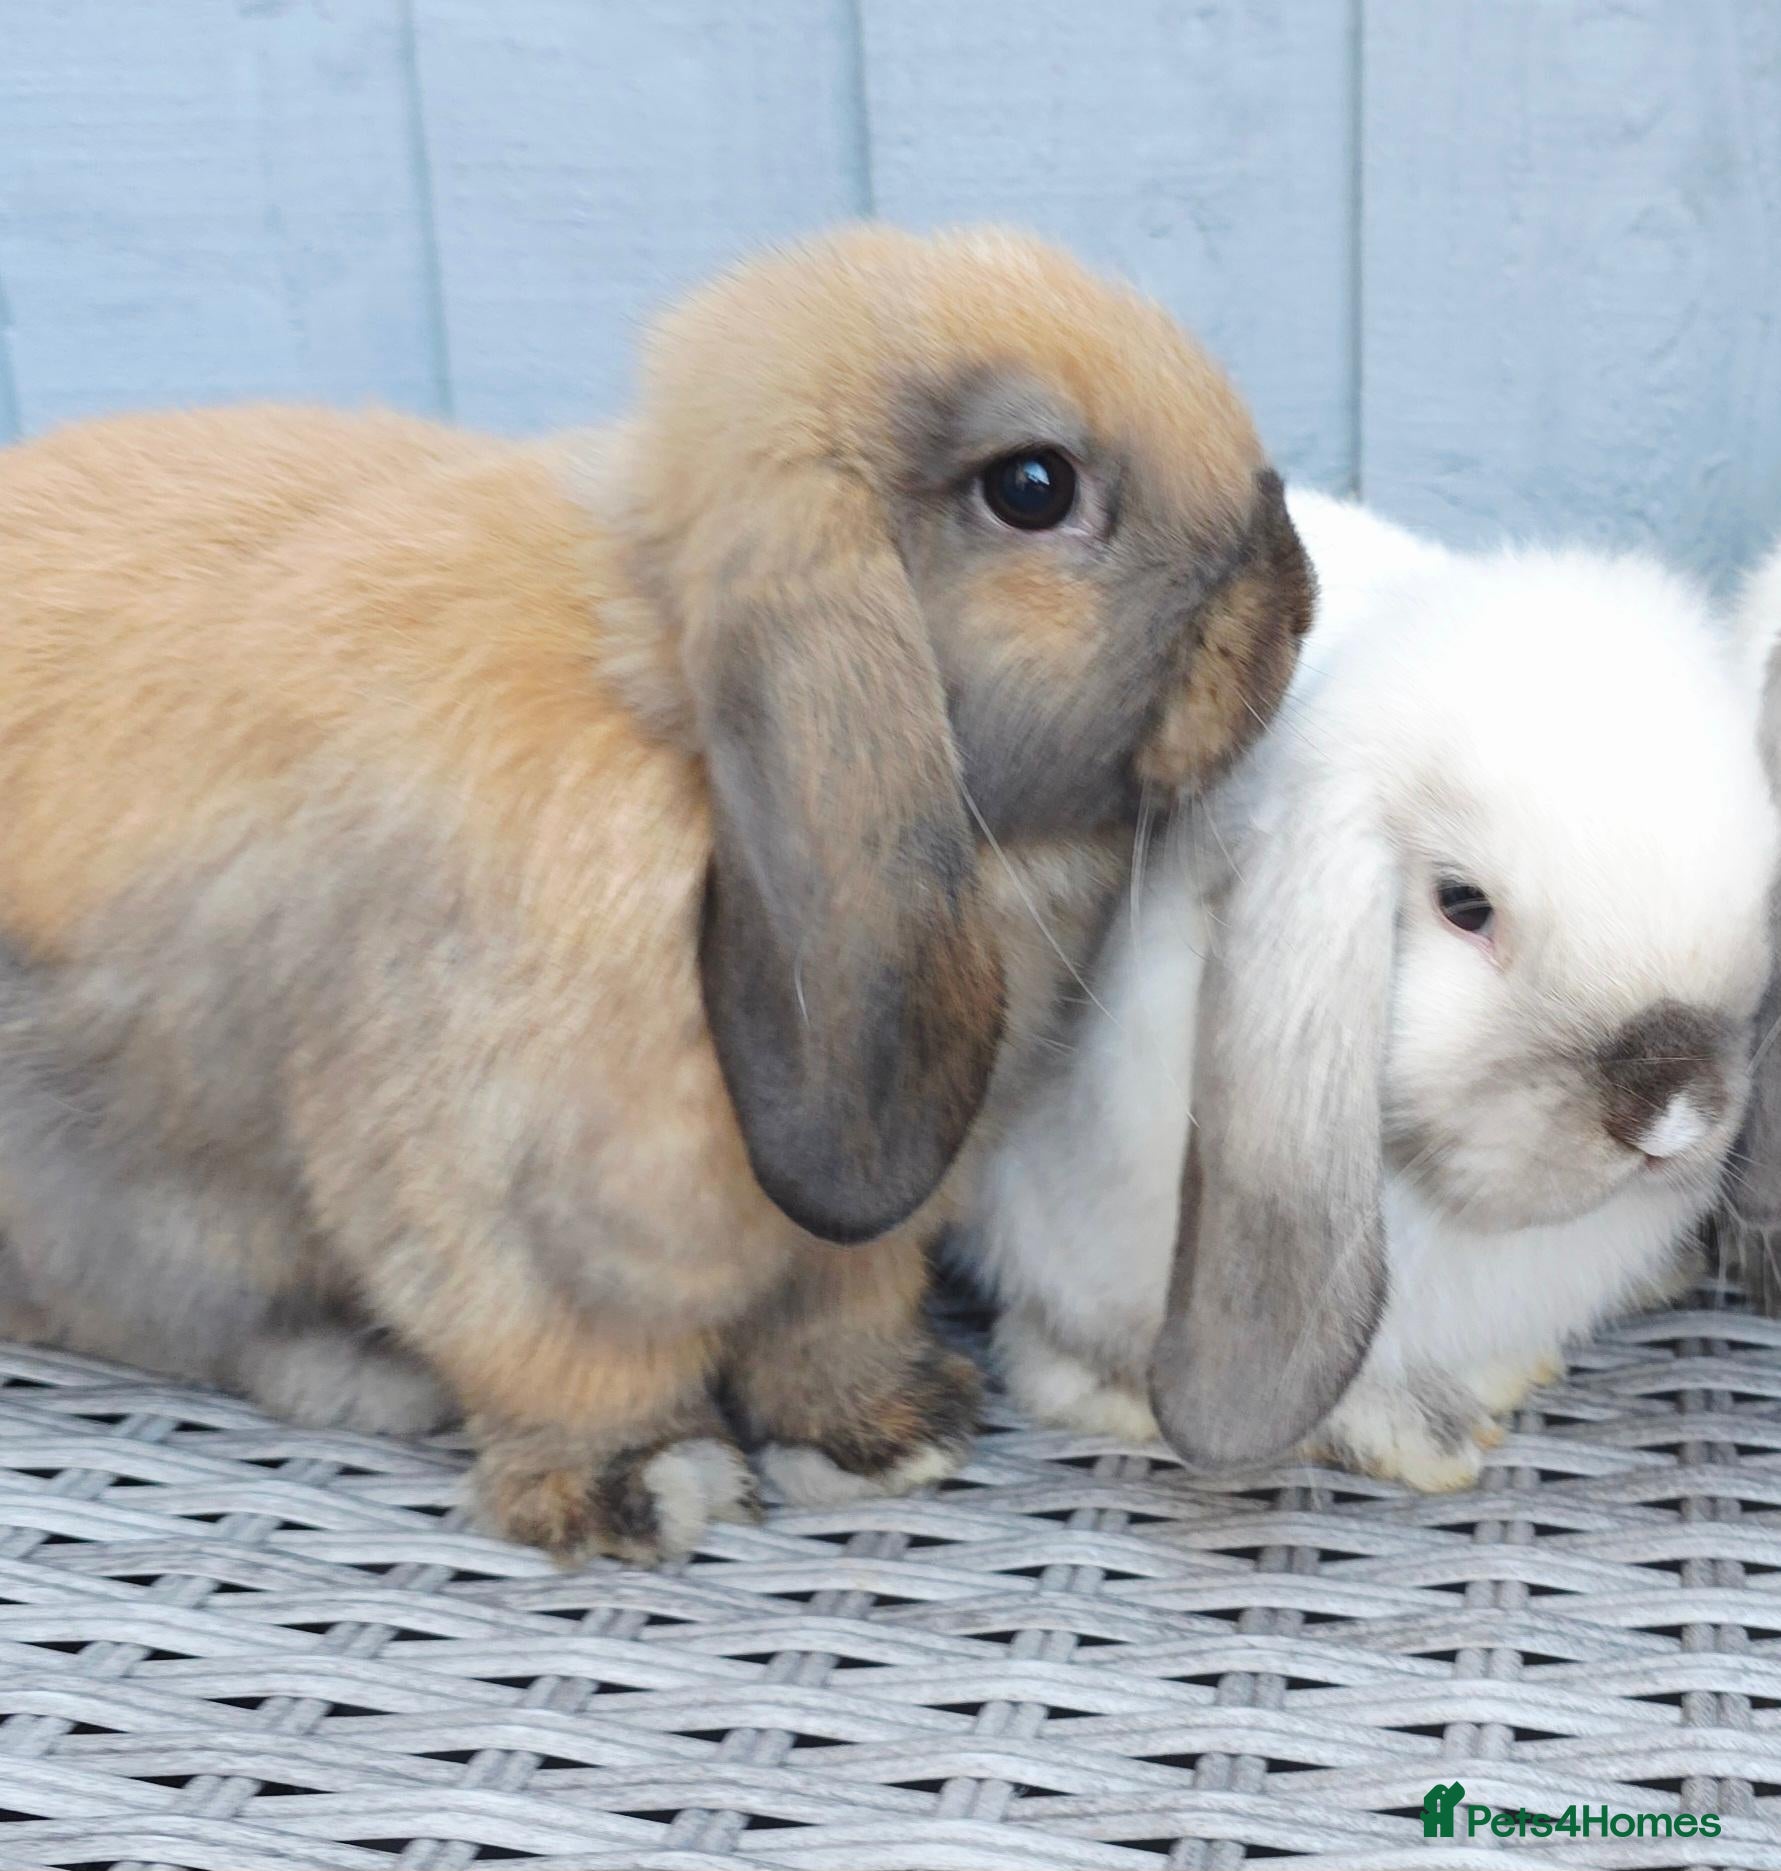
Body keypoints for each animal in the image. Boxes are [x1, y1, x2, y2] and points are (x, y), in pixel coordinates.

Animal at [0, 226, 1313, 1561]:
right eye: (1034, 487)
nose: (1292, 594)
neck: (669, 724)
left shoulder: (860, 1236)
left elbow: (836, 1319)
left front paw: (884, 1434)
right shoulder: (497, 1210)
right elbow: (563, 1361)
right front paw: (643, 1483)